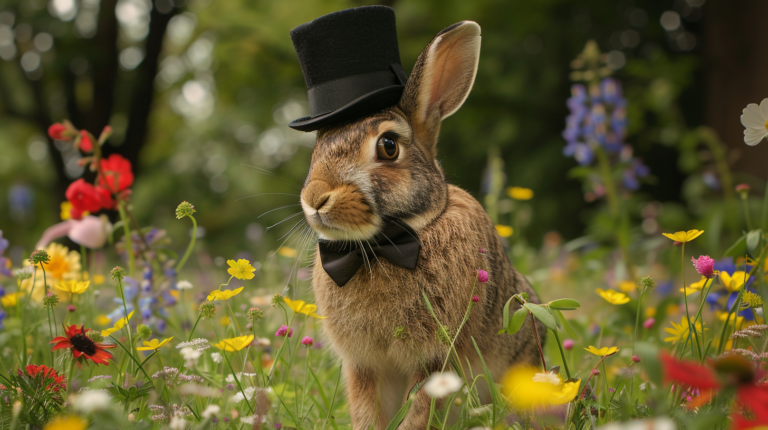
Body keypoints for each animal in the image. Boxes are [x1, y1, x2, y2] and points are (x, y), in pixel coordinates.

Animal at [299, 20, 544, 429]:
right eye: (318, 148)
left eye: (388, 146)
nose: (315, 197)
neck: (386, 246)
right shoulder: (363, 366)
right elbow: (367, 411)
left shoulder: (436, 358)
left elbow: (419, 409)